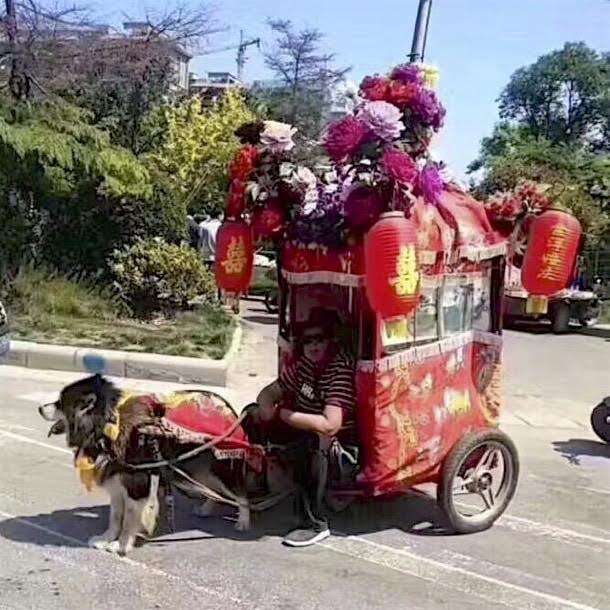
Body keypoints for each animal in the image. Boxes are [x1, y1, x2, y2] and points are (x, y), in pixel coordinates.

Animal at [38, 372, 254, 552]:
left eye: (59, 403)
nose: (40, 408)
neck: (109, 425)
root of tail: (227, 406)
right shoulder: (117, 482)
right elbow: (114, 517)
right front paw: (106, 538)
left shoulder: (137, 484)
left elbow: (128, 521)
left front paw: (121, 545)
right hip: (198, 467)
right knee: (212, 489)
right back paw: (205, 509)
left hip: (220, 465)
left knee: (240, 492)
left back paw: (243, 520)